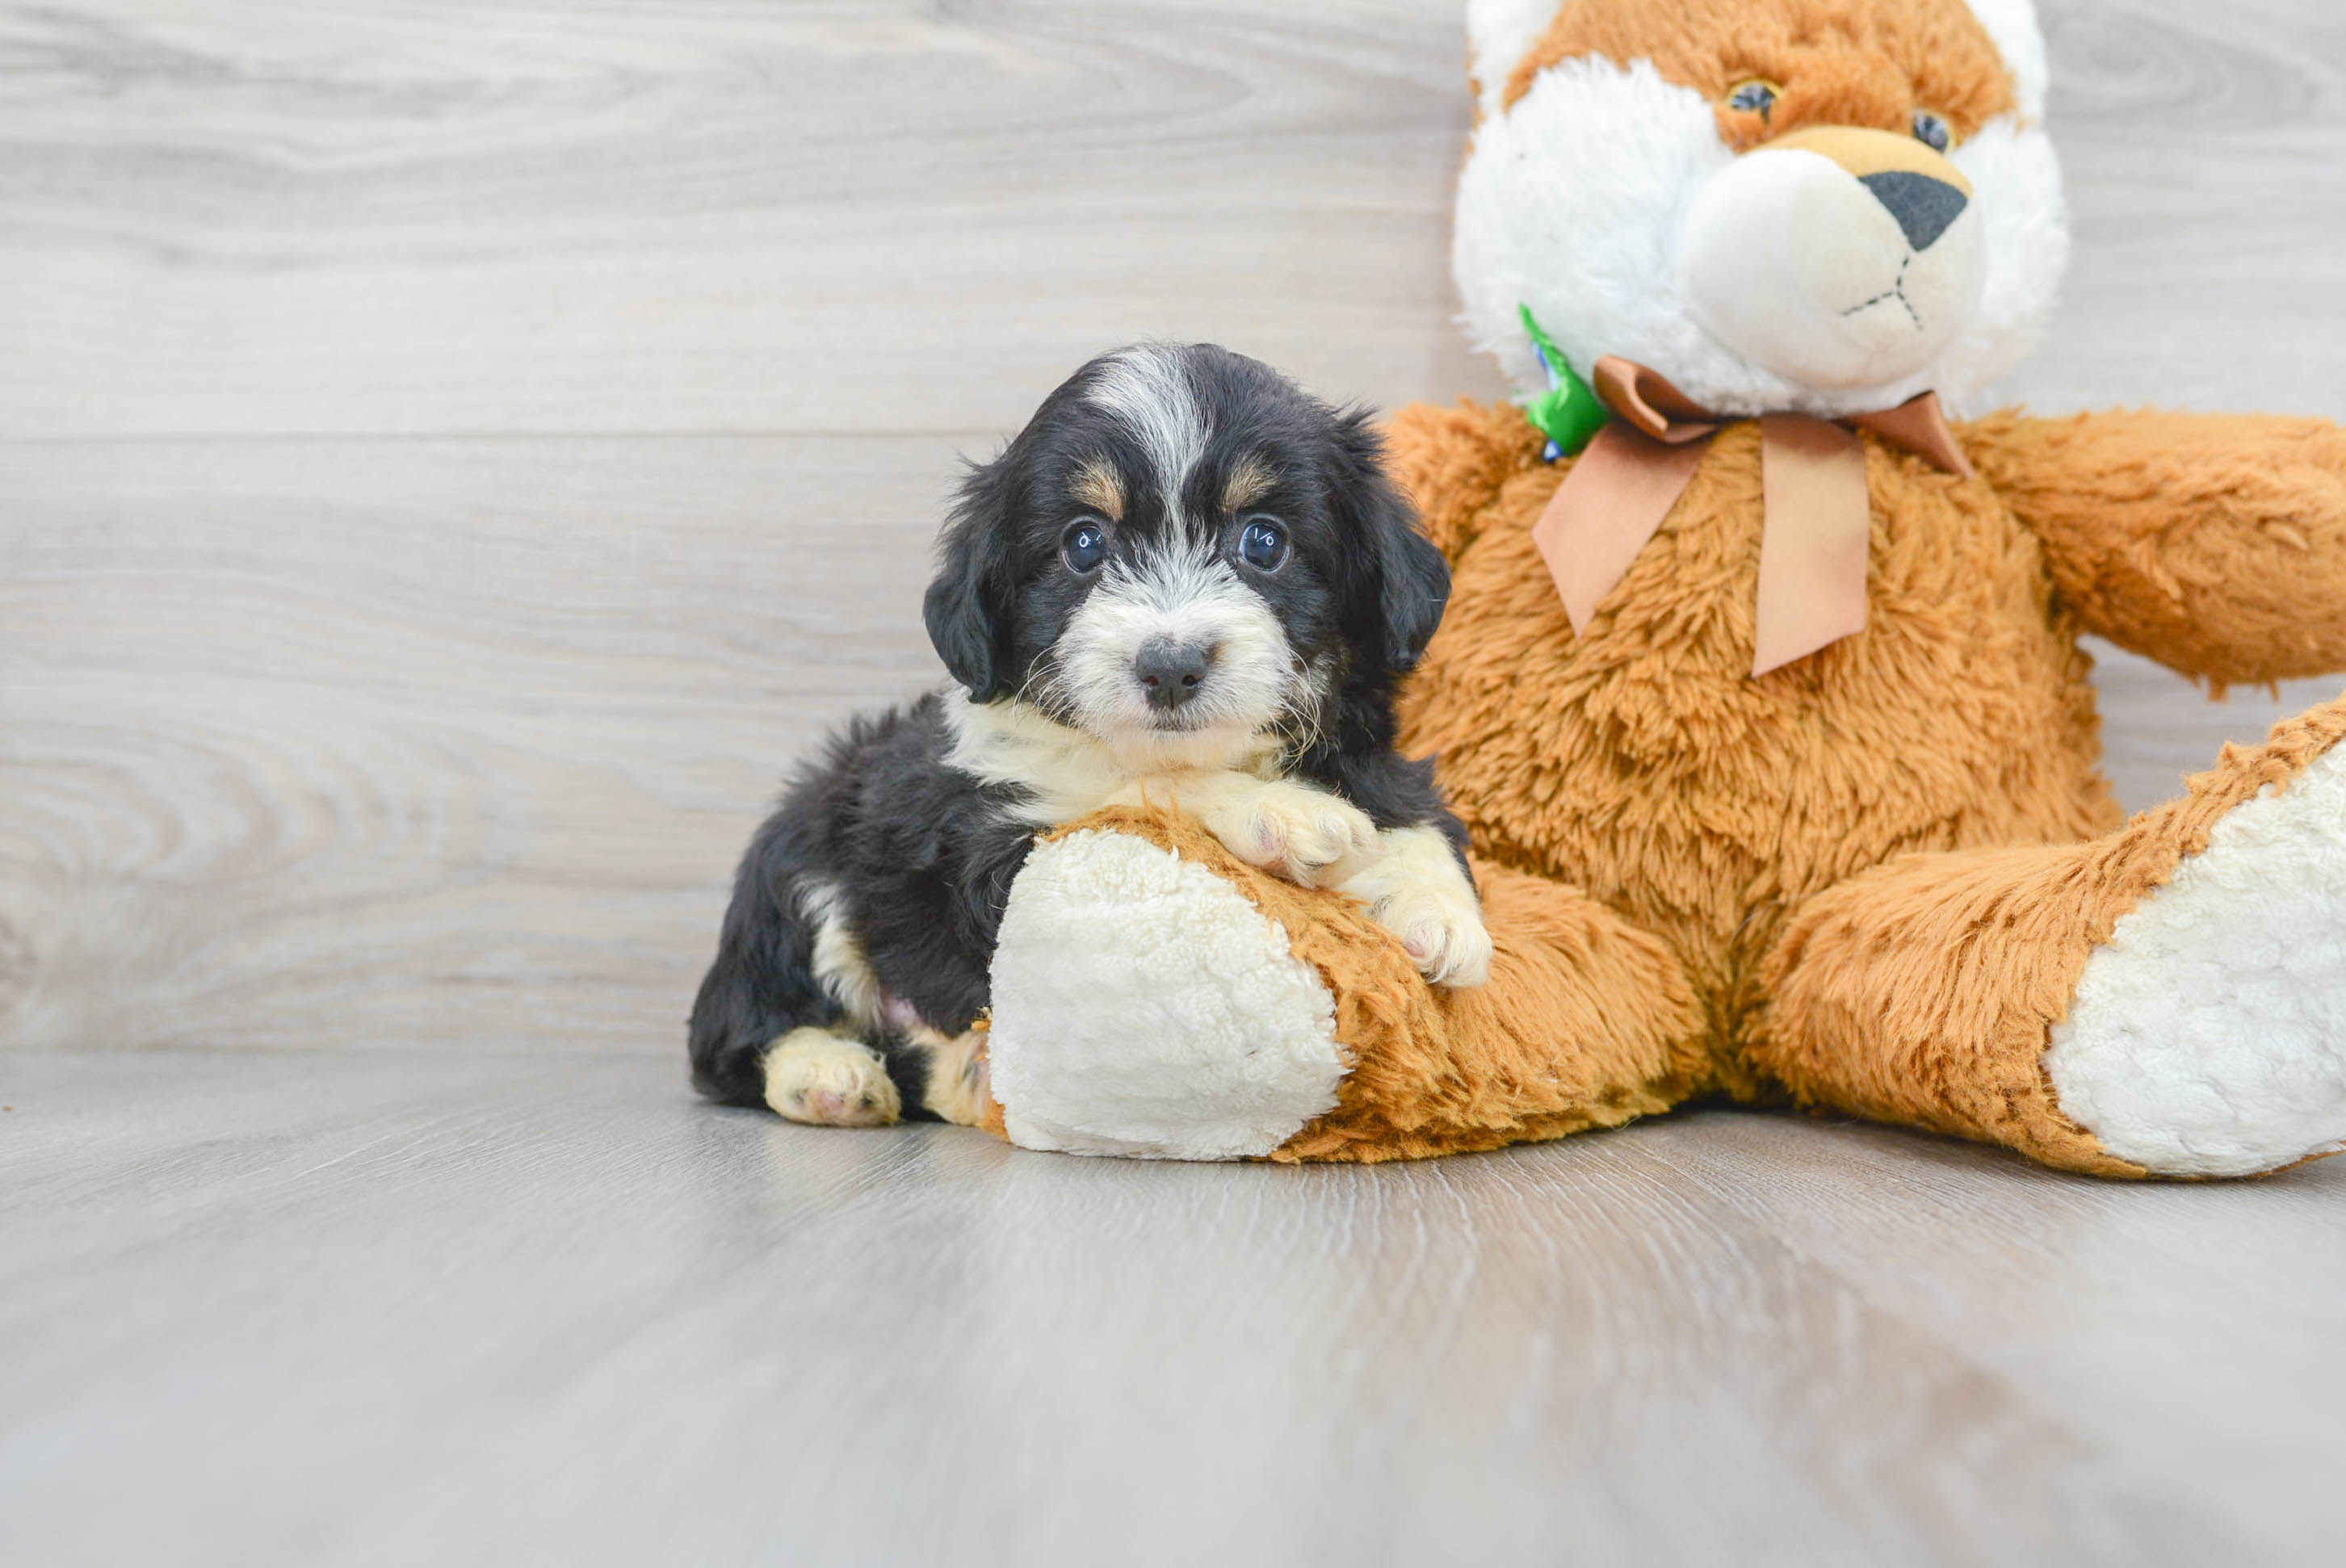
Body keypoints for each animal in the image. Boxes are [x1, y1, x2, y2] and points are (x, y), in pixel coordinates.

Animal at [690, 342, 1482, 1125]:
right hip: (797, 861)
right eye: (1083, 543)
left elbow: (1412, 815)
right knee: (743, 1034)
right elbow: (1140, 788)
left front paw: (1440, 913)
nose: (1170, 668)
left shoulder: (1368, 757)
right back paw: (831, 1076)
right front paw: (1282, 813)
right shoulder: (986, 850)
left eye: (1263, 542)